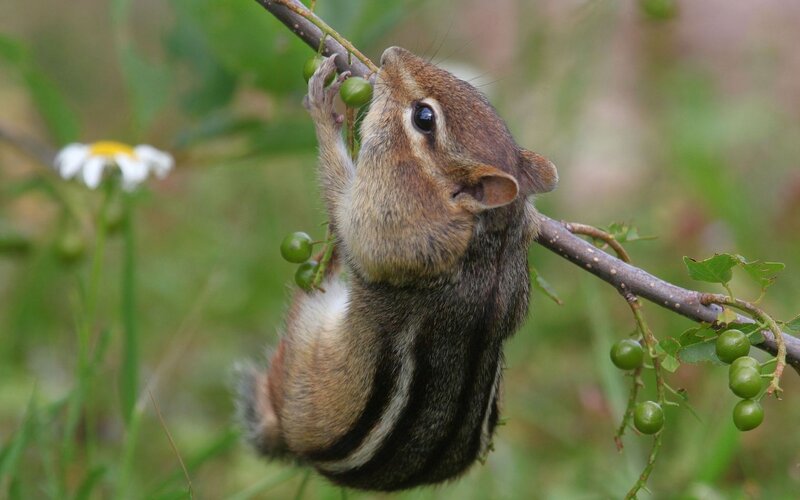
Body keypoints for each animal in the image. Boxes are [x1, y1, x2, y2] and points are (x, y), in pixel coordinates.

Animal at [238, 46, 558, 492]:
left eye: (424, 118)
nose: (391, 54)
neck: (489, 237)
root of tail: (295, 446)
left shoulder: (390, 225)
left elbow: (346, 213)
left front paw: (324, 110)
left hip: (306, 352)